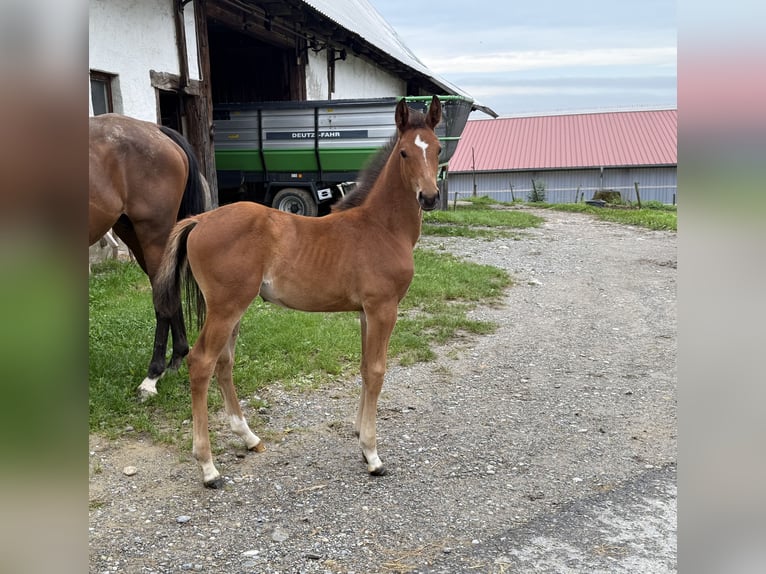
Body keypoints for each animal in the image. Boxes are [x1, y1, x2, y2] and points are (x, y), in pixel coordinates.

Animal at [89, 114, 208, 398]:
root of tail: (156, 130)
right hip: (132, 232)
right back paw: (176, 359)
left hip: (153, 235)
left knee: (163, 297)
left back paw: (152, 375)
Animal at [153, 95, 443, 488]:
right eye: (404, 152)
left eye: (439, 148)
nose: (429, 197)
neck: (380, 228)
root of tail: (201, 219)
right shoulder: (383, 309)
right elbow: (378, 370)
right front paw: (372, 454)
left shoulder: (366, 312)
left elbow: (364, 367)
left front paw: (358, 434)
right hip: (226, 307)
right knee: (201, 363)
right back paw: (208, 467)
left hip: (233, 309)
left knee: (224, 363)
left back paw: (249, 437)